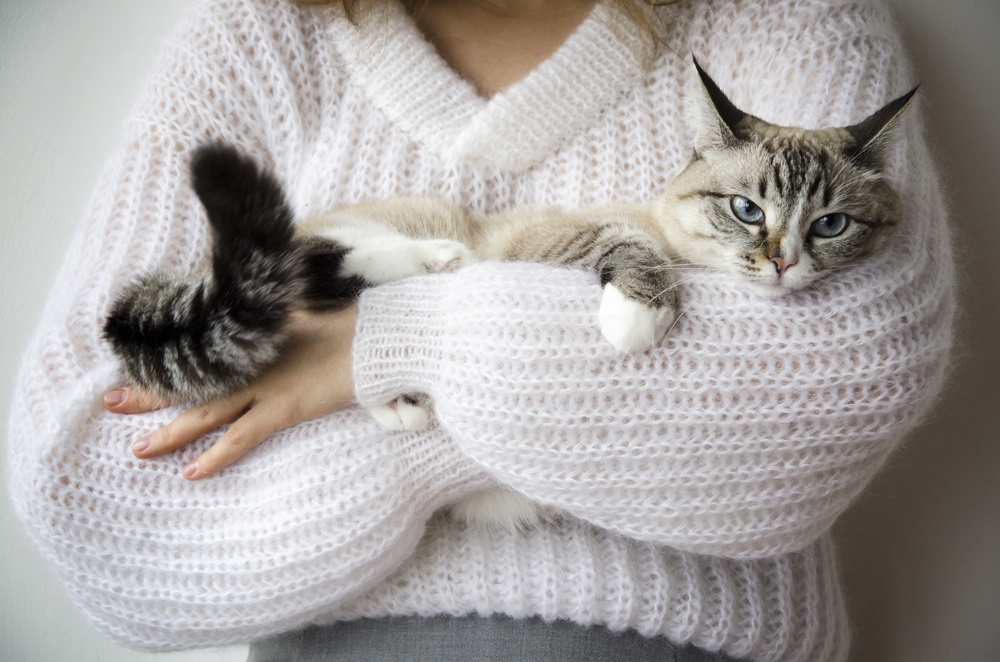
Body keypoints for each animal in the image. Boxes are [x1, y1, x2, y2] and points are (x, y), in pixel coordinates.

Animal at [101, 61, 916, 528]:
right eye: (748, 209)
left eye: (831, 224)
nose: (781, 262)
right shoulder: (557, 238)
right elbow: (630, 247)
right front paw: (638, 315)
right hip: (366, 234)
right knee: (324, 262)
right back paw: (436, 263)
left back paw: (401, 395)